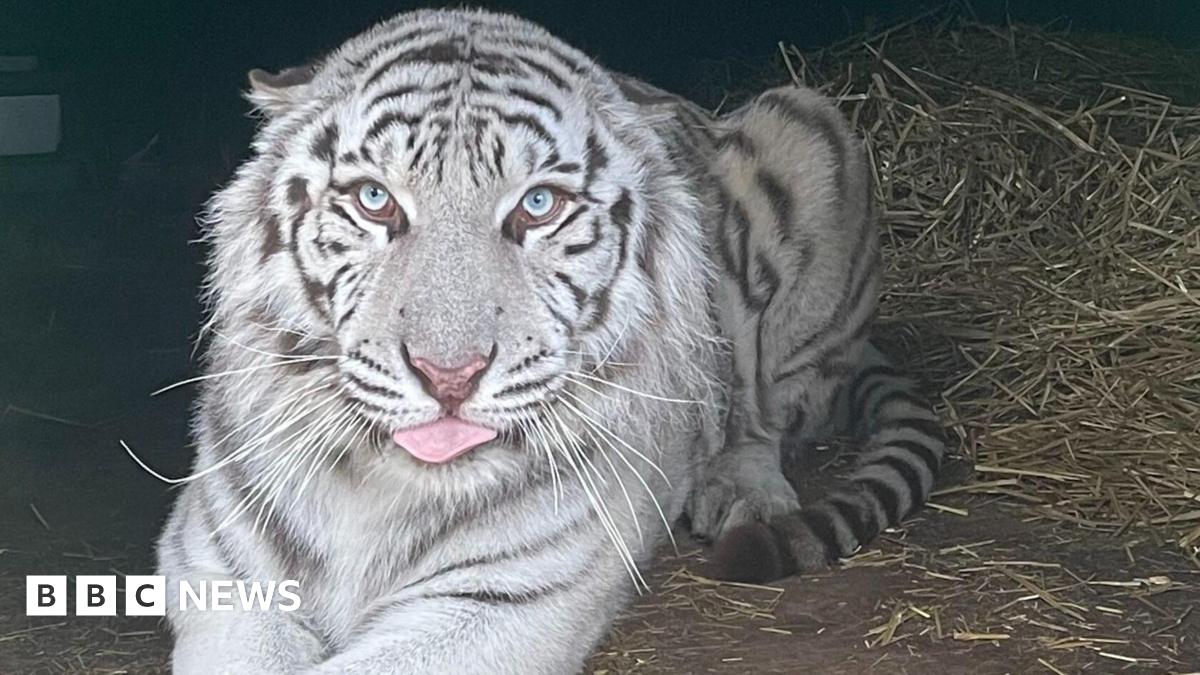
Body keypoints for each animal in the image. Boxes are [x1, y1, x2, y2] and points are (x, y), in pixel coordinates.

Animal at [155, 8, 947, 674]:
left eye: (538, 205)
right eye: (374, 199)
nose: (449, 375)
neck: (378, 486)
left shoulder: (501, 599)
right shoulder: (222, 580)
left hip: (808, 127)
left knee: (761, 411)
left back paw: (745, 493)